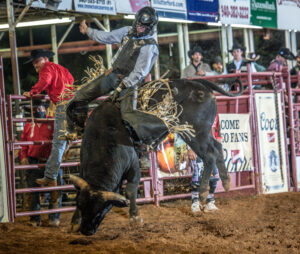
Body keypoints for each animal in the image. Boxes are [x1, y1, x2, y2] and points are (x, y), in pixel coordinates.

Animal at [69, 78, 244, 235]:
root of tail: (198, 84)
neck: (103, 136)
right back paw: (226, 182)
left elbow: (131, 190)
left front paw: (135, 217)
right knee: (218, 148)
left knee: (209, 155)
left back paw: (202, 193)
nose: (86, 230)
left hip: (194, 133)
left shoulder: (133, 165)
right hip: (202, 133)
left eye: (102, 209)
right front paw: (74, 221)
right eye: (81, 205)